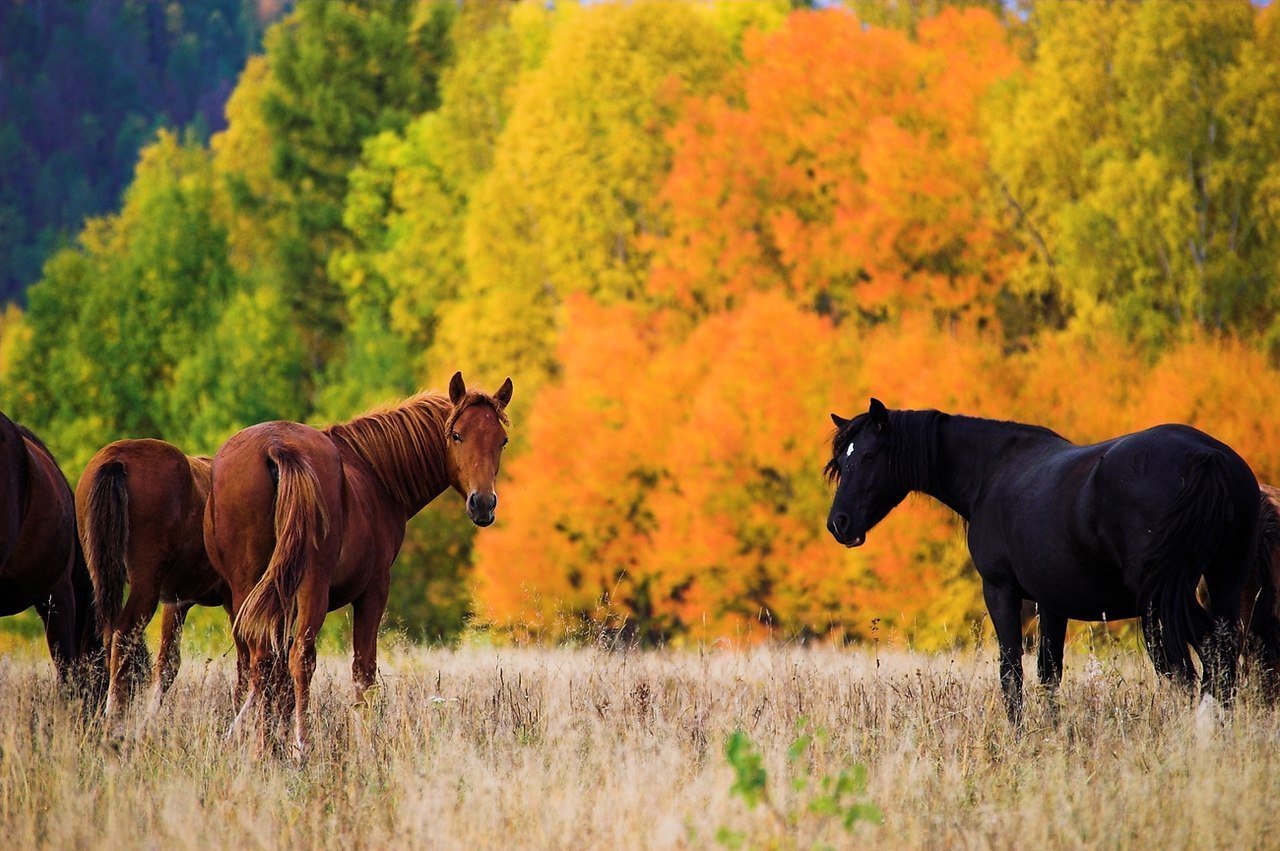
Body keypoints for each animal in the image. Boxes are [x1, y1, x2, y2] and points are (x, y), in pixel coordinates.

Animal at [78, 440, 239, 731]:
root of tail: (117, 460)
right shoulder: (234, 600)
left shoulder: (177, 602)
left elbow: (168, 663)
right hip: (145, 585)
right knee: (123, 634)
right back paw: (114, 717)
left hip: (103, 576)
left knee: (109, 633)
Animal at [207, 371, 512, 757]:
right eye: (456, 435)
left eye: (502, 441)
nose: (483, 504)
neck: (376, 474)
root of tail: (276, 447)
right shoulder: (374, 589)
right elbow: (363, 671)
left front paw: (274, 738)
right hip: (311, 587)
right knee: (300, 658)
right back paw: (302, 746)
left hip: (246, 589)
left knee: (260, 662)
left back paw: (262, 748)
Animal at [824, 401, 1264, 721]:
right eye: (841, 463)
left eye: (868, 456)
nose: (838, 524)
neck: (992, 471)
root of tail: (1208, 459)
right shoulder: (1052, 603)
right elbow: (1049, 675)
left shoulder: (1000, 591)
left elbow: (1012, 674)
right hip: (1223, 578)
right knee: (1225, 651)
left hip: (1163, 599)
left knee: (1209, 652)